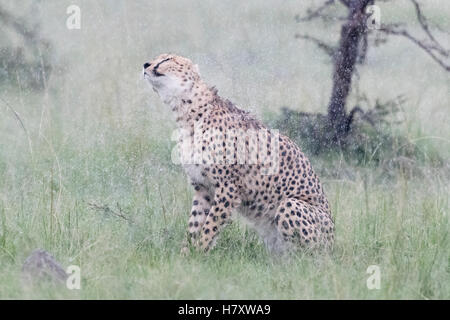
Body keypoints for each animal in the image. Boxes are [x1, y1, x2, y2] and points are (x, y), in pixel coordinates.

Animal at [143, 53, 334, 254]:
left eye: (167, 60)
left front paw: (200, 253)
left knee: (309, 256)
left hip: (290, 205)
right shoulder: (203, 188)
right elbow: (194, 225)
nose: (146, 64)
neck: (189, 111)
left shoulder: (228, 188)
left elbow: (210, 226)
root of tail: (333, 245)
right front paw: (186, 254)